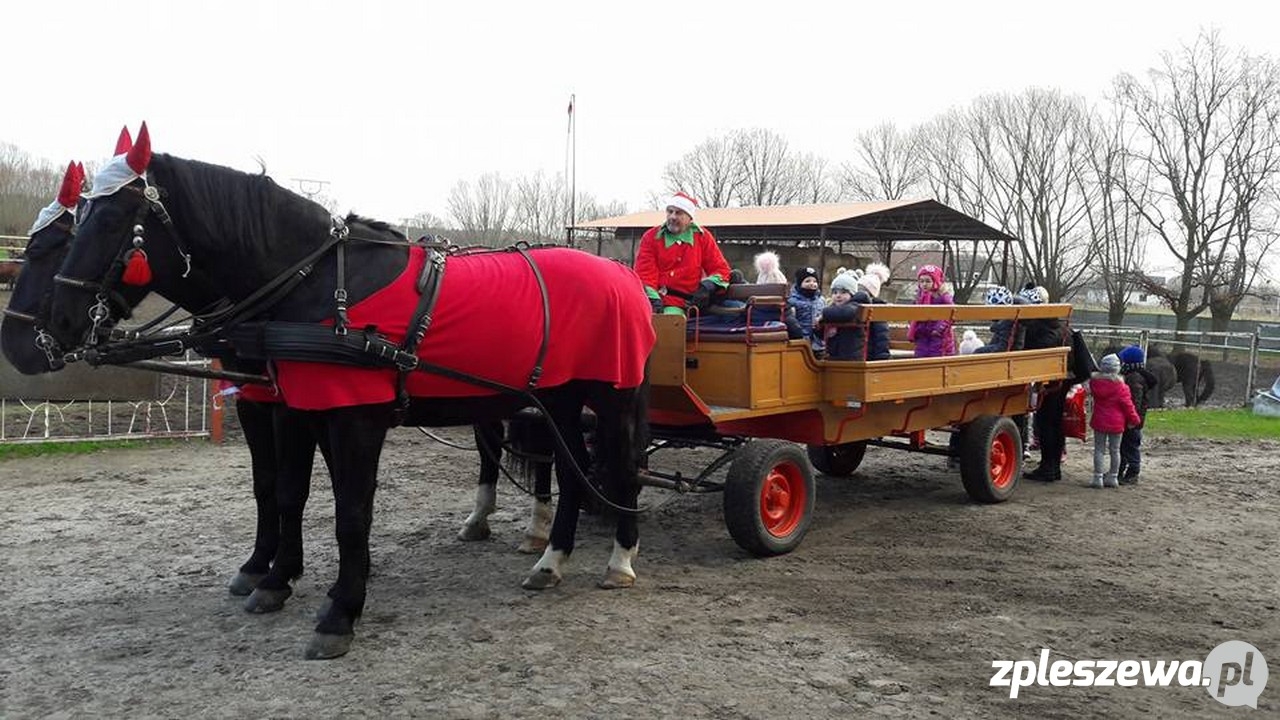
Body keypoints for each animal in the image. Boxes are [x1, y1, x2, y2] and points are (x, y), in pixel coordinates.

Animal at [48, 127, 650, 655]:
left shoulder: (354, 415)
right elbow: (297, 493)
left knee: (622, 472)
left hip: (612, 397)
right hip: (559, 400)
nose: (59, 321)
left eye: (114, 218)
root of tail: (624, 276)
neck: (318, 286)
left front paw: (339, 611)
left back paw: (620, 560)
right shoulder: (302, 407)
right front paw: (279, 581)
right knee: (573, 472)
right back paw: (551, 562)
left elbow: (350, 511)